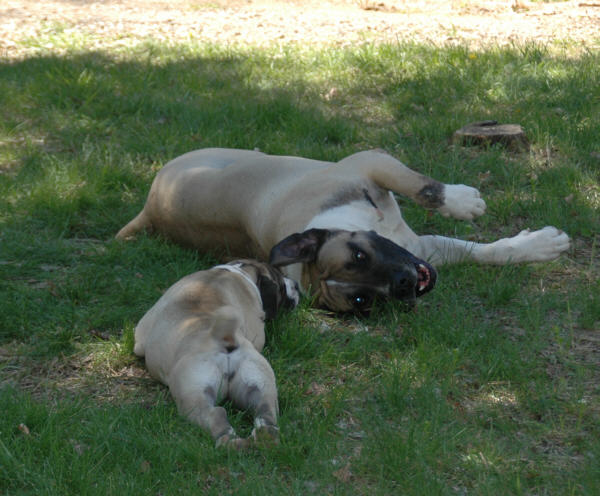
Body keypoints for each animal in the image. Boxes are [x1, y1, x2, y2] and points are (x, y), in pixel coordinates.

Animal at [134, 260, 298, 450]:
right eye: (282, 286)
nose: (296, 284)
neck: (241, 271)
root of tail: (222, 337)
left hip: (194, 396)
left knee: (216, 414)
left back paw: (229, 443)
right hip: (259, 383)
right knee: (264, 411)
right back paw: (264, 437)